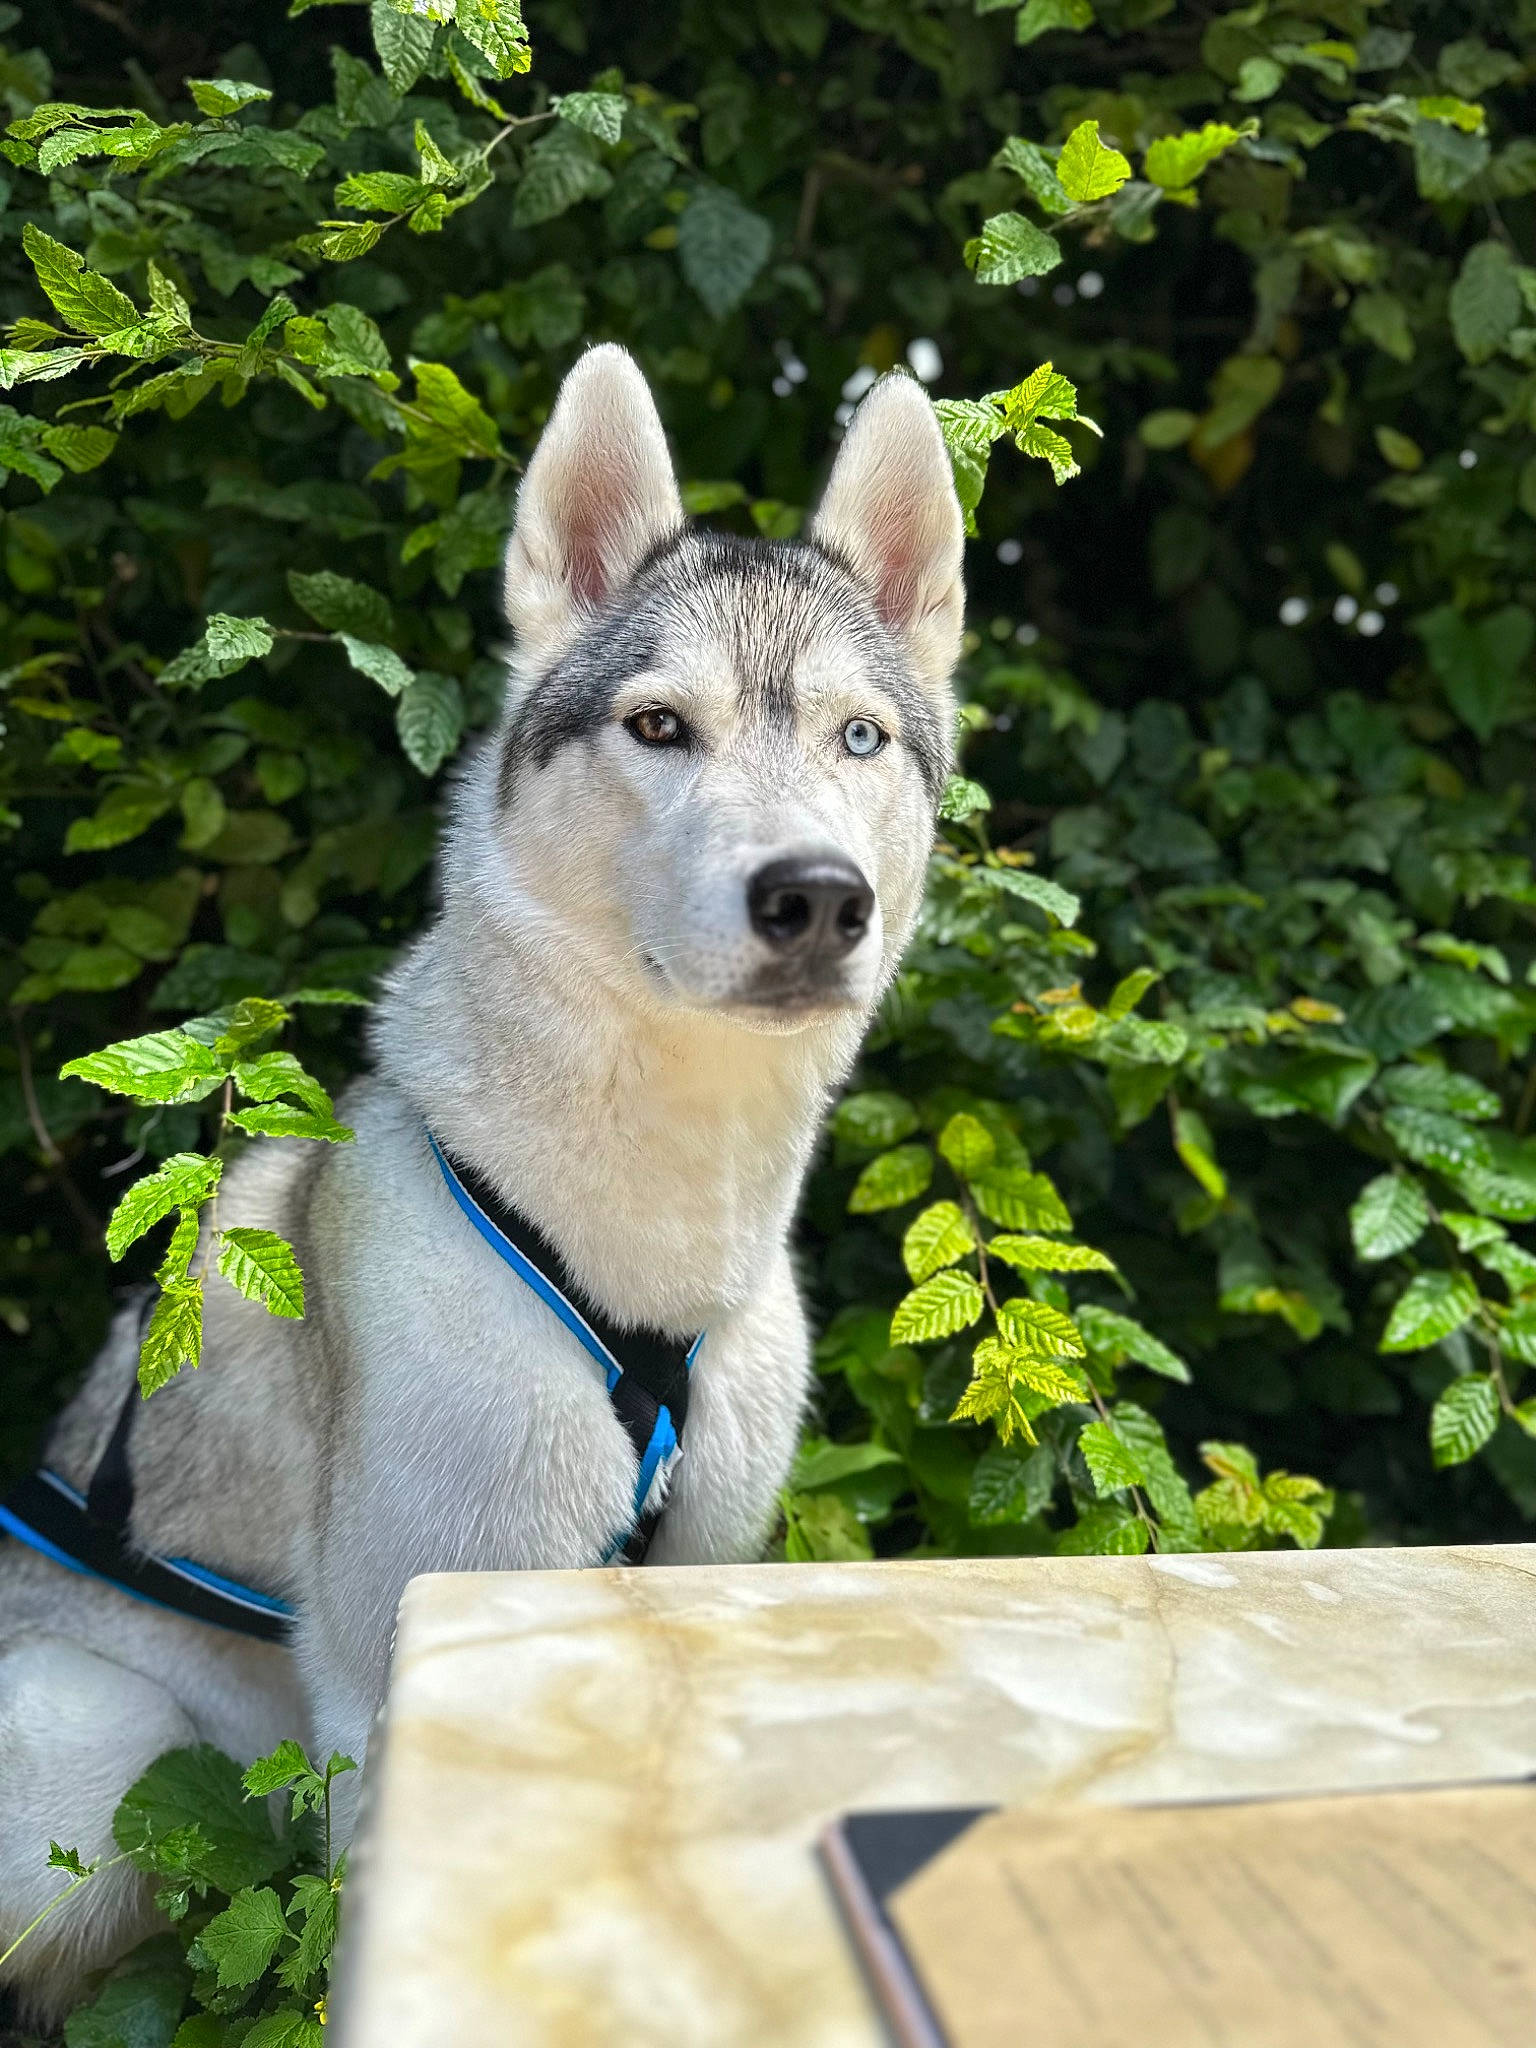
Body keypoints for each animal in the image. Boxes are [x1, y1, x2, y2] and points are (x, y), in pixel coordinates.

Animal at [0, 344, 964, 2021]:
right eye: (659, 726)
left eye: (860, 739)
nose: (816, 899)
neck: (658, 1238)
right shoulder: (398, 1657)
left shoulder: (694, 1578)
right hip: (109, 1736)